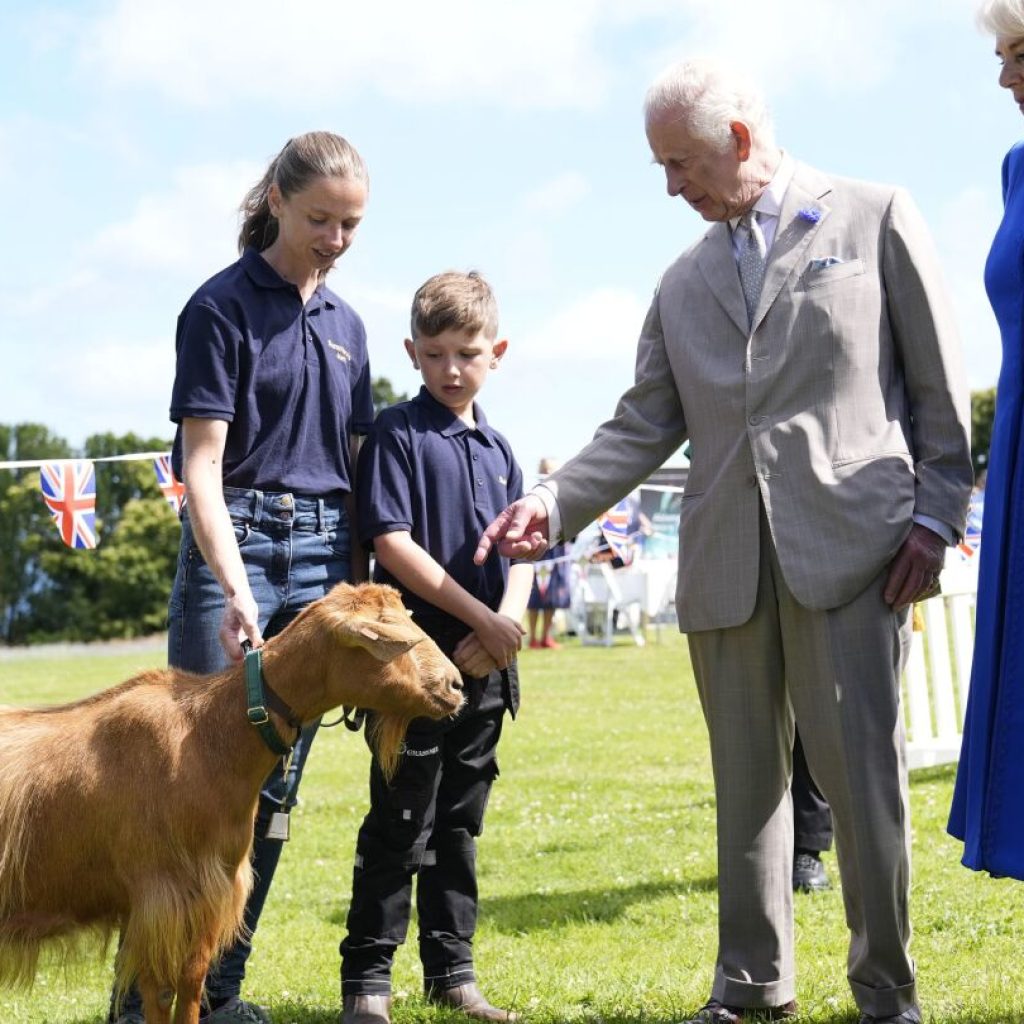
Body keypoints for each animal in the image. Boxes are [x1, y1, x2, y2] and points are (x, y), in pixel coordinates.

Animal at [0, 585, 460, 1024]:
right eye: (388, 637)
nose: (456, 686)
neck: (208, 737)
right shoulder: (162, 897)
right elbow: (164, 991)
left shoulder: (203, 895)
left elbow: (184, 985)